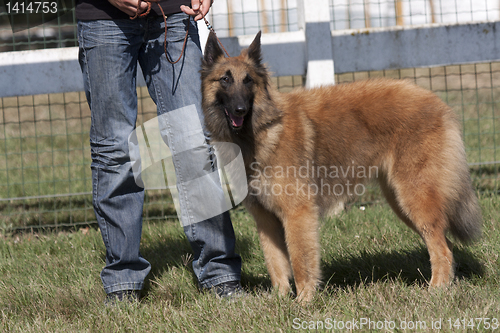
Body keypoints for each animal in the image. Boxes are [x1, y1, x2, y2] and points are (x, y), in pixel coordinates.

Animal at [199, 31, 480, 300]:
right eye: (225, 79)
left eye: (248, 81)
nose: (240, 109)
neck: (262, 131)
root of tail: (437, 101)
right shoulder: (266, 220)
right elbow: (276, 263)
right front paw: (278, 300)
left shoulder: (298, 214)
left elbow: (301, 261)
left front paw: (304, 302)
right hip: (401, 202)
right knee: (445, 245)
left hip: (415, 197)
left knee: (441, 248)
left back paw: (436, 290)